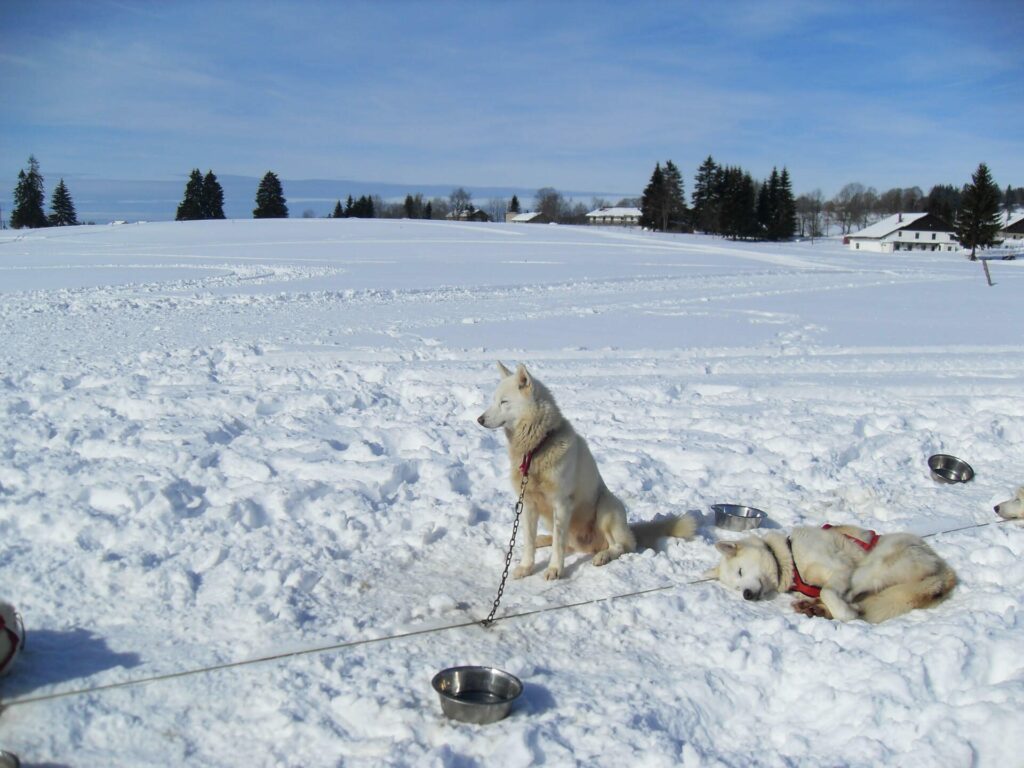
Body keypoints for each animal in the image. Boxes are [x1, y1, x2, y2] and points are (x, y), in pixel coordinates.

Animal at [479, 364, 696, 581]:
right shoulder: (529, 504)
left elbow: (558, 546)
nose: (479, 419)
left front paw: (555, 569)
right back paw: (544, 539)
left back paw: (603, 555)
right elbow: (529, 541)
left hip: (606, 509)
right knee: (564, 541)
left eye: (504, 402)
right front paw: (526, 567)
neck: (537, 448)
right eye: (493, 400)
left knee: (621, 545)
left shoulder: (562, 504)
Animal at [700, 524, 954, 626]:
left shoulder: (841, 569)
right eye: (736, 587)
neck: (790, 558)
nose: (746, 594)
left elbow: (830, 592)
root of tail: (944, 571)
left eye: (741, 571)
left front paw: (846, 612)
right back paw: (813, 607)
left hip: (874, 565)